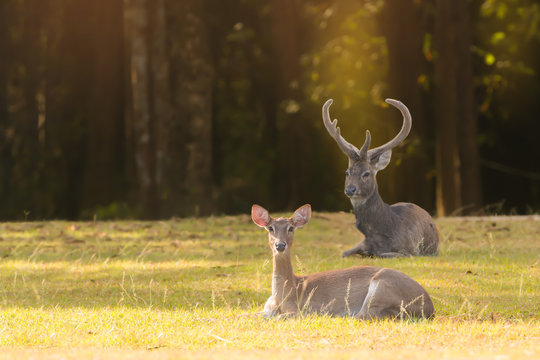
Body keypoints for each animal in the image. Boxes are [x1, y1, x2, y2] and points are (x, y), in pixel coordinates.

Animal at [252, 204, 434, 320]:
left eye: (291, 228)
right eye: (270, 228)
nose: (280, 245)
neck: (287, 292)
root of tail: (430, 308)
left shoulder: (305, 307)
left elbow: (282, 317)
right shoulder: (266, 309)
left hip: (382, 288)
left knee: (363, 316)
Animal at [320, 98, 438, 258]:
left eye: (366, 173)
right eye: (347, 172)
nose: (350, 189)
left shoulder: (410, 250)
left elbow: (381, 254)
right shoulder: (362, 243)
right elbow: (344, 253)